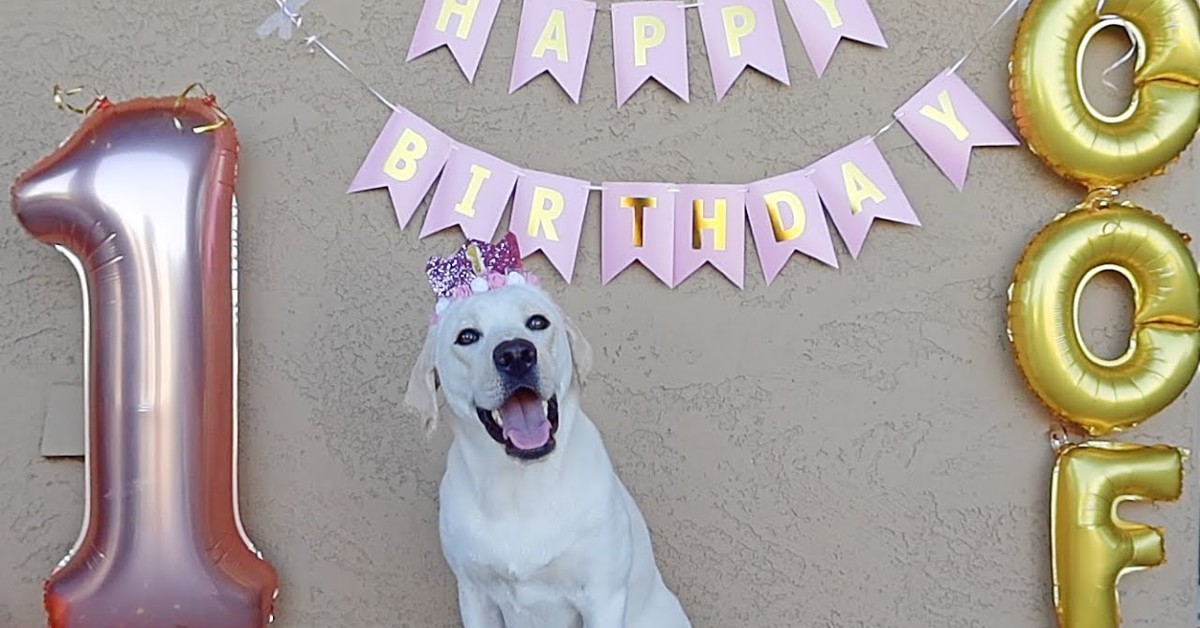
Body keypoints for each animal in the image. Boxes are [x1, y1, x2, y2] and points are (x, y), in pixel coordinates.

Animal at [405, 272, 696, 624]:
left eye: (537, 322)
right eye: (467, 336)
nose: (515, 354)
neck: (521, 487)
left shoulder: (603, 597)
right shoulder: (474, 595)